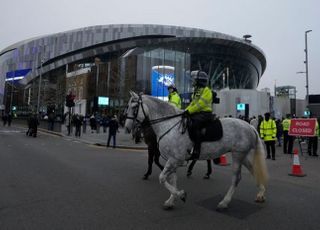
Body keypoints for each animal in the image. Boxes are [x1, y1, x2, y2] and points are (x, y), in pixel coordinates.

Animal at [125, 91, 268, 210]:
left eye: (134, 107)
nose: (127, 128)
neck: (169, 125)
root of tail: (250, 126)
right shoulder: (172, 160)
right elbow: (171, 180)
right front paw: (171, 201)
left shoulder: (175, 159)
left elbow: (162, 178)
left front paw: (181, 195)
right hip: (243, 155)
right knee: (254, 170)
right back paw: (260, 194)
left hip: (238, 155)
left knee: (236, 178)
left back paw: (224, 202)